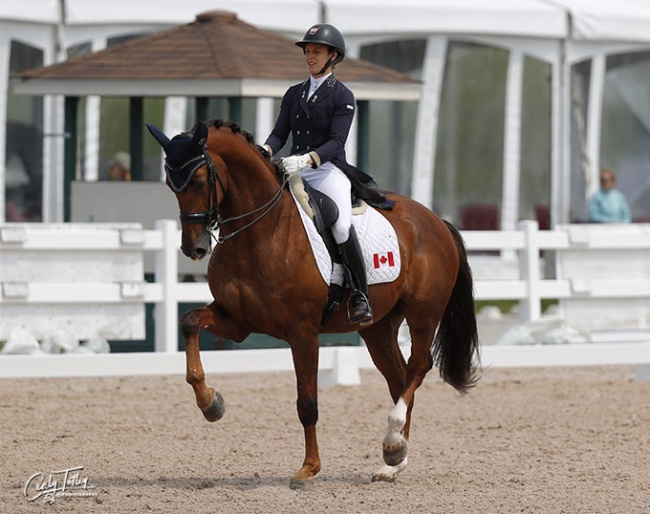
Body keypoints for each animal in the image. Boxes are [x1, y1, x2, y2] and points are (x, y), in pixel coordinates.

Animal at [148, 118, 480, 486]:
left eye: (200, 180)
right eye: (171, 184)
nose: (194, 248)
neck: (262, 231)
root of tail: (436, 221)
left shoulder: (302, 332)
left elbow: (307, 402)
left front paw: (309, 468)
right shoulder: (237, 322)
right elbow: (189, 321)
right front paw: (211, 403)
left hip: (423, 315)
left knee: (418, 367)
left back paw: (393, 441)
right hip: (378, 327)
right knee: (398, 377)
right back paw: (394, 460)